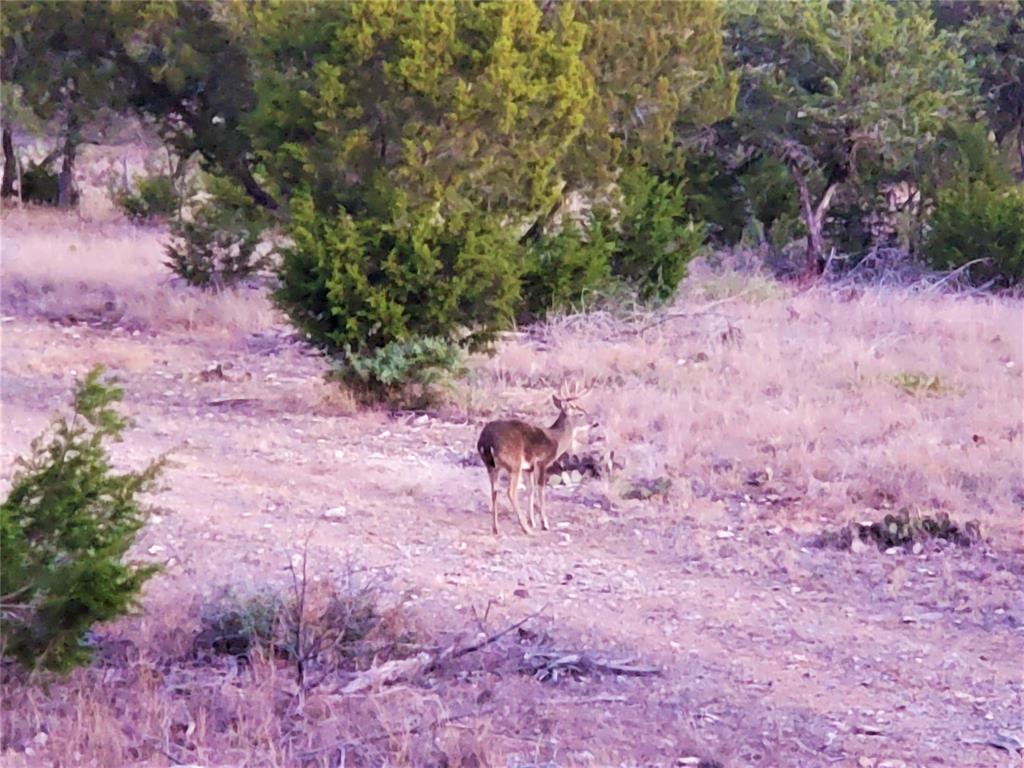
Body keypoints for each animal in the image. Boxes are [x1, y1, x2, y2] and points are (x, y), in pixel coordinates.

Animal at [473, 382, 589, 536]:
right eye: (581, 413)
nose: (595, 423)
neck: (556, 440)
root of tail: (486, 441)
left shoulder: (529, 467)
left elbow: (531, 489)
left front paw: (532, 521)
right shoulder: (542, 462)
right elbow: (541, 489)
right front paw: (544, 523)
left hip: (491, 466)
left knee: (494, 491)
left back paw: (496, 528)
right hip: (514, 463)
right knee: (511, 492)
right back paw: (525, 528)